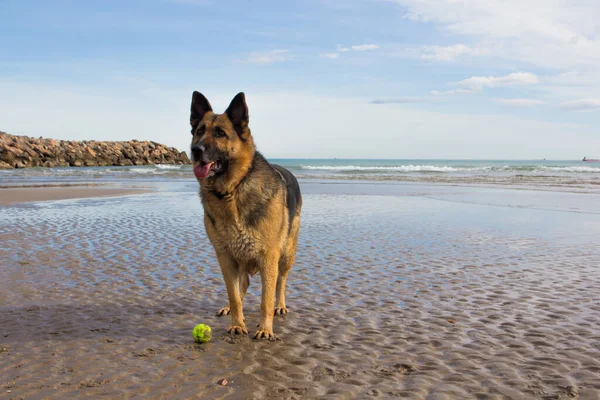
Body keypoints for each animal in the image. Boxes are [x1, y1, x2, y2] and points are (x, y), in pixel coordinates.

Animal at [190, 91, 302, 340]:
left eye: (220, 133)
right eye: (199, 130)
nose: (195, 150)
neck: (232, 191)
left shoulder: (268, 257)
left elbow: (266, 299)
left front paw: (265, 329)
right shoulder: (225, 257)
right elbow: (233, 294)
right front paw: (237, 323)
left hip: (286, 254)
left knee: (281, 281)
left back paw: (280, 305)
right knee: (242, 285)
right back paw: (229, 308)